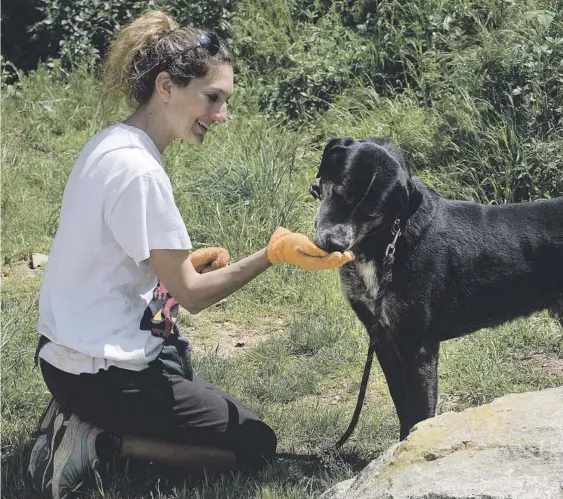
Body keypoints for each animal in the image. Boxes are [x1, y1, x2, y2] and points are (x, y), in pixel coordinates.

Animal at [312, 138, 563, 442]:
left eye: (373, 213)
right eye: (340, 195)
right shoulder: (382, 338)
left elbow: (419, 413)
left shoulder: (417, 348)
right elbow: (402, 406)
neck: (388, 242)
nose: (334, 244)